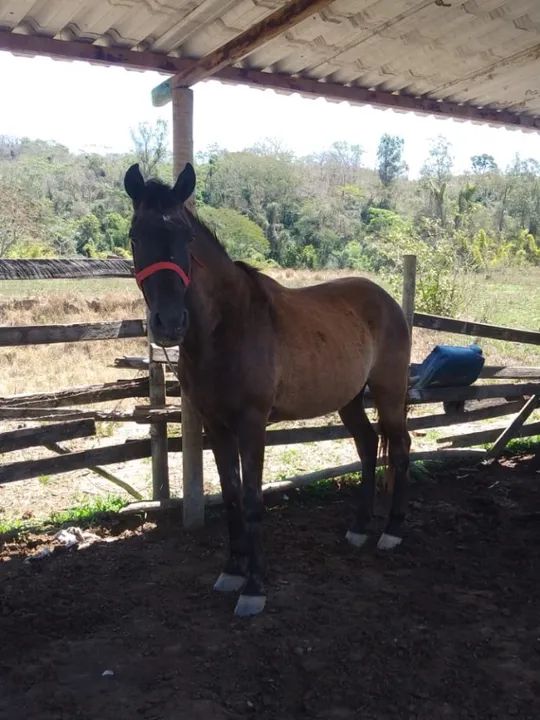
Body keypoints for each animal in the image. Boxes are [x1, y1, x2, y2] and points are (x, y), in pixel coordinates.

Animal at [124, 162, 411, 617]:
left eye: (185, 237)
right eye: (136, 236)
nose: (169, 323)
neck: (227, 326)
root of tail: (386, 300)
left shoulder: (251, 426)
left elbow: (254, 501)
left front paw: (255, 588)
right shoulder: (216, 426)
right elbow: (231, 497)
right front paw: (232, 571)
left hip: (388, 392)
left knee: (399, 448)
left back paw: (391, 532)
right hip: (349, 399)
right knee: (368, 445)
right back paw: (359, 528)